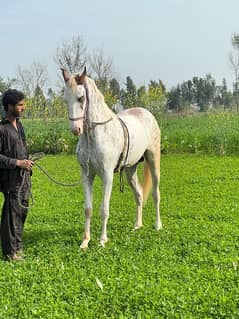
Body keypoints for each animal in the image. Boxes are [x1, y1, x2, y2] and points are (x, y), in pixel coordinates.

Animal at [61, 68, 162, 250]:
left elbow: (104, 209)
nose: (76, 129)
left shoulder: (107, 175)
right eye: (65, 99)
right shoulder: (87, 175)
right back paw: (137, 225)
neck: (95, 135)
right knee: (139, 195)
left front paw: (102, 240)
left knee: (156, 193)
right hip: (130, 170)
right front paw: (85, 242)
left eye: (81, 98)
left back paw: (158, 225)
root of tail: (146, 113)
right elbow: (88, 209)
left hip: (153, 160)